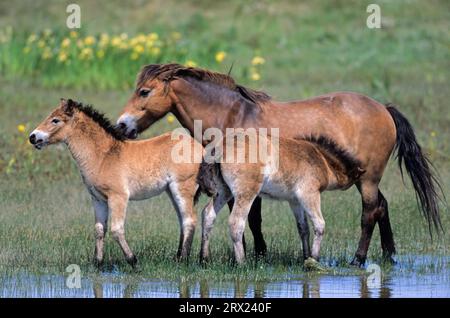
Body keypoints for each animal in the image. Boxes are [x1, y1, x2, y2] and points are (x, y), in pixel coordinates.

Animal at [29, 99, 202, 266]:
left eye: (55, 120)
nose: (32, 137)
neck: (103, 156)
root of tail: (199, 147)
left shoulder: (118, 197)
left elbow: (116, 230)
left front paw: (133, 261)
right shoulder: (98, 199)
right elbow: (99, 230)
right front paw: (98, 264)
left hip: (182, 187)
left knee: (189, 220)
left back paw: (183, 261)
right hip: (171, 191)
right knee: (183, 220)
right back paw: (178, 257)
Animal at [116, 62, 442, 266]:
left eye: (144, 91)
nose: (121, 125)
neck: (233, 115)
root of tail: (383, 108)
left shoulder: (249, 184)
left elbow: (251, 220)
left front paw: (256, 255)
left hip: (368, 180)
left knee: (369, 213)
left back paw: (358, 259)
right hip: (367, 179)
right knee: (382, 208)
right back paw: (389, 256)